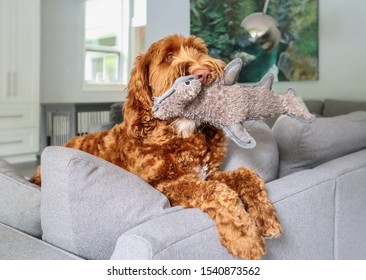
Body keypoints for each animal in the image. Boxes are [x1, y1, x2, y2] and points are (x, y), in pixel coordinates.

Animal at [32, 34, 284, 260]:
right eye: (168, 56)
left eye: (199, 51)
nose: (203, 74)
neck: (182, 132)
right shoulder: (162, 185)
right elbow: (217, 191)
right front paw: (244, 237)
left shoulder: (208, 173)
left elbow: (246, 174)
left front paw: (266, 217)